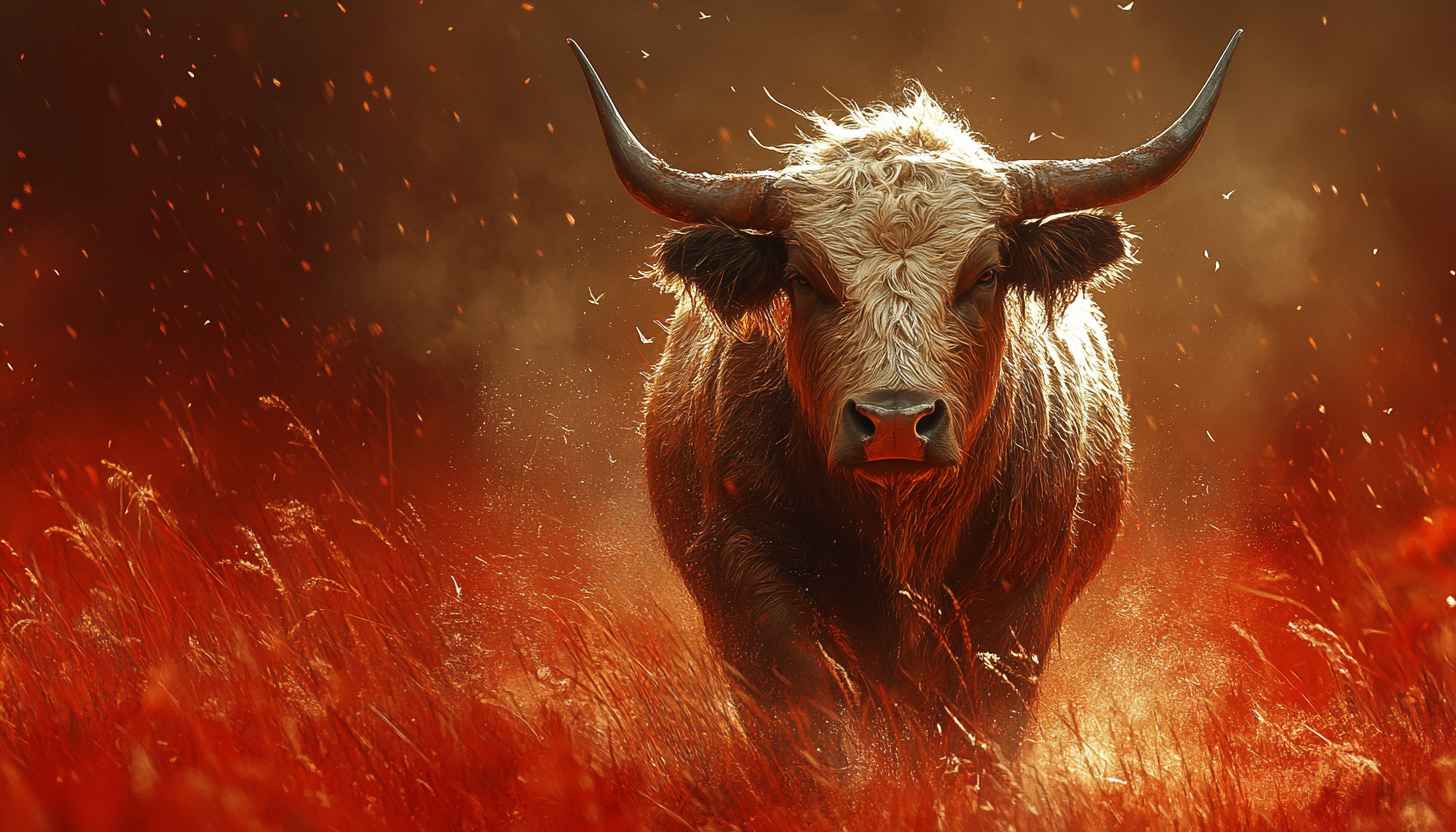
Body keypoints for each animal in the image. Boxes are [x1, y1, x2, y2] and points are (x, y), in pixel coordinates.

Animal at [568, 31, 1241, 754]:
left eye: (985, 275)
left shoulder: (1021, 601)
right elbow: (812, 718)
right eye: (804, 278)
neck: (901, 530)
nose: (895, 421)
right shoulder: (746, 576)